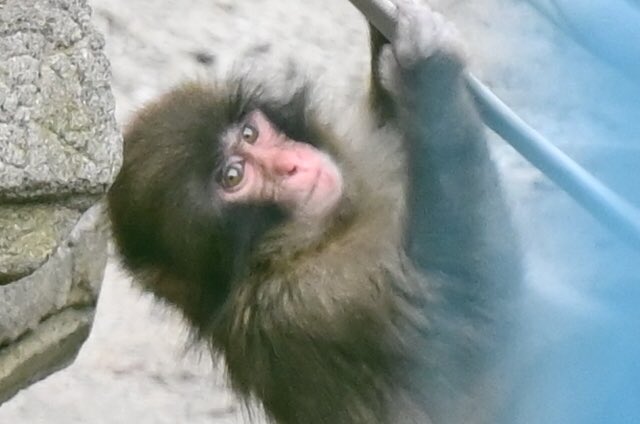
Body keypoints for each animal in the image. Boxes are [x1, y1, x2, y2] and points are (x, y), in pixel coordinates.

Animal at [107, 1, 521, 423]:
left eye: (250, 134)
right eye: (233, 176)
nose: (291, 164)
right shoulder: (315, 301)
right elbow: (474, 292)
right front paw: (428, 72)